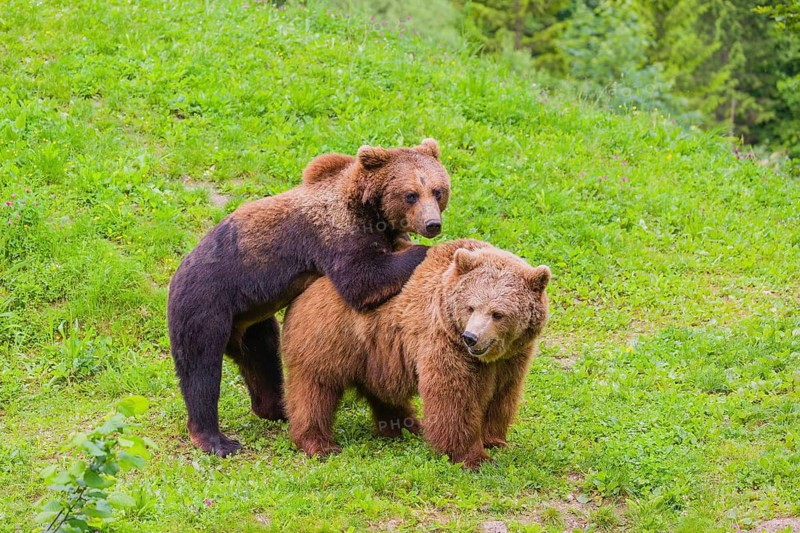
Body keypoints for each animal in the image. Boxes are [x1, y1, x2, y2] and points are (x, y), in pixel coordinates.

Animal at [167, 139, 451, 457]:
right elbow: (363, 279)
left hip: (252, 320)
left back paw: (277, 408)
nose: (432, 224)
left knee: (263, 358)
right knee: (201, 369)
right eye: (410, 194)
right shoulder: (336, 233)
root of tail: (178, 272)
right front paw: (427, 251)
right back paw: (216, 439)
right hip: (206, 305)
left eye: (437, 190)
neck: (369, 211)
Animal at [281, 239, 551, 469]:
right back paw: (319, 443)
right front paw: (472, 457)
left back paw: (405, 426)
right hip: (330, 335)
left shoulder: (513, 357)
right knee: (315, 388)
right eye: (471, 307)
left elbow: (503, 393)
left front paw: (494, 439)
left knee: (381, 391)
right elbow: (454, 396)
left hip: (377, 353)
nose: (471, 337)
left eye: (497, 314)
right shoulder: (445, 341)